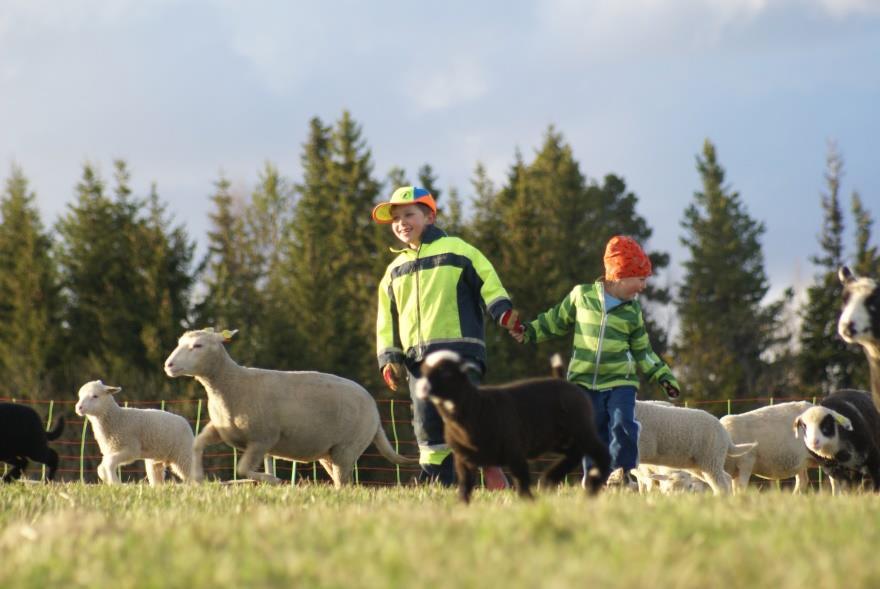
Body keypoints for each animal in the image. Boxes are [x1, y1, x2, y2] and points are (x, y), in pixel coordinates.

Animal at [163, 328, 418, 484]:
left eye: (198, 345)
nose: (169, 365)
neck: (230, 383)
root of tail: (374, 409)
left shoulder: (262, 439)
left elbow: (243, 469)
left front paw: (273, 480)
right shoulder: (223, 430)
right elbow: (197, 444)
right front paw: (197, 477)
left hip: (348, 447)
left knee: (344, 482)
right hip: (330, 451)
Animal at [416, 350, 608, 500]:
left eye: (446, 373)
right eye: (423, 371)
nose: (422, 389)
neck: (476, 405)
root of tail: (564, 382)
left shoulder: (514, 450)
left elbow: (522, 482)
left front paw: (529, 503)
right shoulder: (463, 458)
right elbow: (464, 487)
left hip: (581, 427)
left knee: (600, 452)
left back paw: (593, 483)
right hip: (559, 438)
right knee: (575, 453)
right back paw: (549, 480)